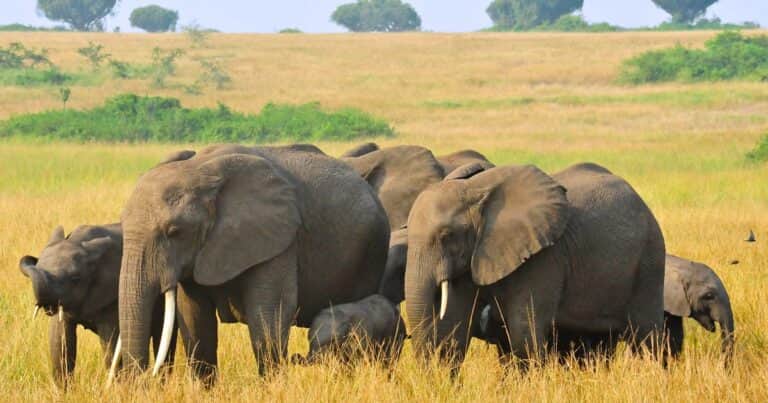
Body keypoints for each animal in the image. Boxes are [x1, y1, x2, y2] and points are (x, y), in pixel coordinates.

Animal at [114, 144, 389, 384]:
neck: (200, 169)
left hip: (370, 250)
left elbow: (268, 314)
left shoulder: (279, 238)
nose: (141, 383)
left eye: (174, 232)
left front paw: (272, 389)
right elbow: (194, 318)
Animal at [404, 162, 666, 371]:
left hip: (649, 259)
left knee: (647, 336)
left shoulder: (544, 256)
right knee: (600, 343)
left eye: (446, 235)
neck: (475, 189)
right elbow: (455, 327)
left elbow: (524, 332)